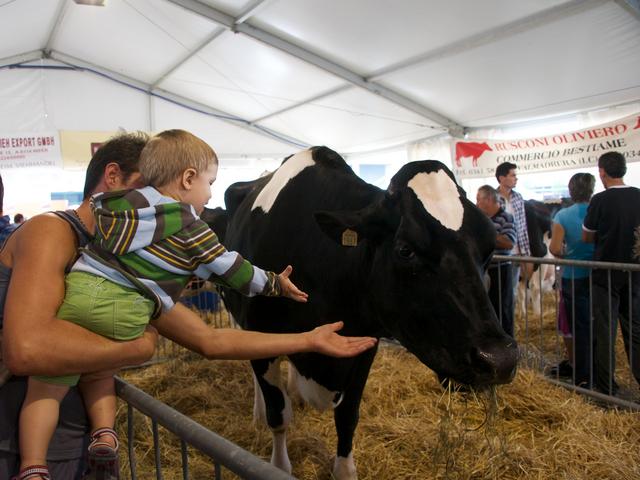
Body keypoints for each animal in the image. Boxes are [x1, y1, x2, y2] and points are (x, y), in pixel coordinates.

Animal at [218, 147, 516, 480]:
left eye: (489, 249)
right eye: (405, 250)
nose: (500, 359)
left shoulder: (362, 345)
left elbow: (348, 416)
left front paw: (345, 470)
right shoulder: (261, 333)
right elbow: (278, 415)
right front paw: (279, 463)